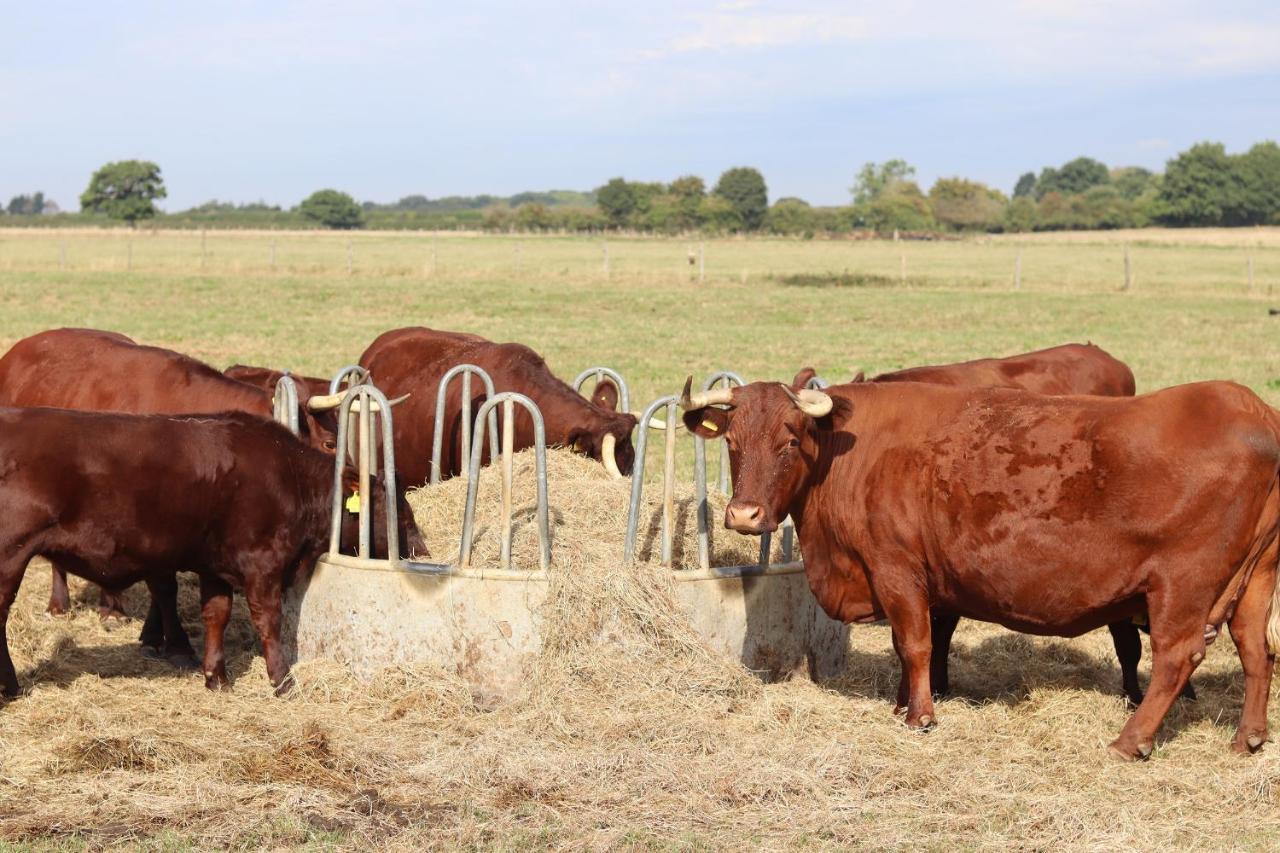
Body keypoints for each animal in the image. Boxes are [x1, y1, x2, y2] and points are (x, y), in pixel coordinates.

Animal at [686, 379, 1280, 758]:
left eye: (789, 440)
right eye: (732, 442)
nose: (743, 515)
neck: (850, 452)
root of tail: (1253, 409)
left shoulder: (896, 569)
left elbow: (915, 644)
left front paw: (921, 716)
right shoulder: (928, 583)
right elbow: (920, 644)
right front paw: (903, 704)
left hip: (1181, 584)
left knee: (1178, 657)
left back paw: (1129, 741)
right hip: (1256, 581)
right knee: (1257, 648)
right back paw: (1247, 738)